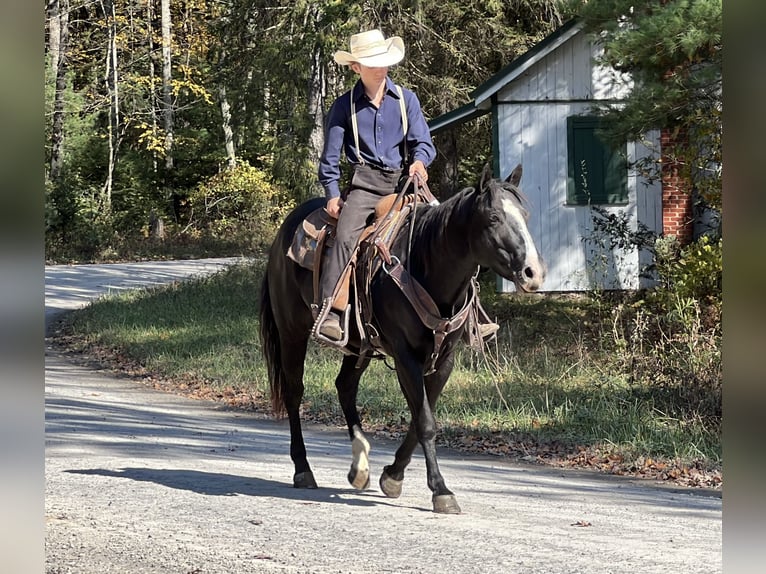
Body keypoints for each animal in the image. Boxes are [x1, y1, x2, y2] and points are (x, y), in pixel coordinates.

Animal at [260, 164, 548, 516]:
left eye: (525, 215)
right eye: (493, 218)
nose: (533, 273)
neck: (426, 264)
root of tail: (284, 233)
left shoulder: (444, 360)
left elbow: (419, 417)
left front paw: (392, 475)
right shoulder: (405, 356)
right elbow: (425, 422)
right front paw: (441, 491)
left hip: (360, 345)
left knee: (345, 386)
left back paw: (360, 467)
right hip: (291, 332)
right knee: (294, 393)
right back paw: (303, 469)